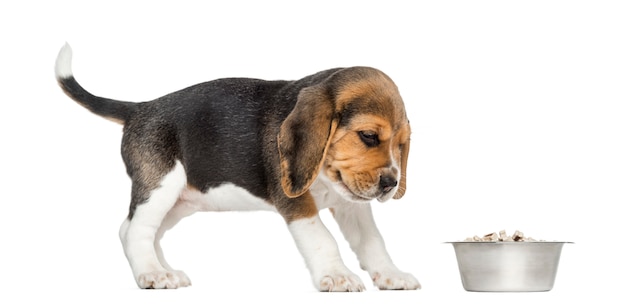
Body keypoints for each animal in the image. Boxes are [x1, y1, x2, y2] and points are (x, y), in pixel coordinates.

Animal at [54, 44, 420, 290]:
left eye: (402, 144)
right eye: (368, 136)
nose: (391, 183)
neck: (326, 179)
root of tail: (139, 108)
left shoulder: (351, 206)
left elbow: (373, 241)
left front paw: (391, 274)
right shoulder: (297, 203)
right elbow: (323, 239)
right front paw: (337, 275)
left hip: (180, 201)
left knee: (132, 229)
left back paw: (164, 268)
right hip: (160, 187)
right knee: (137, 230)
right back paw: (153, 273)